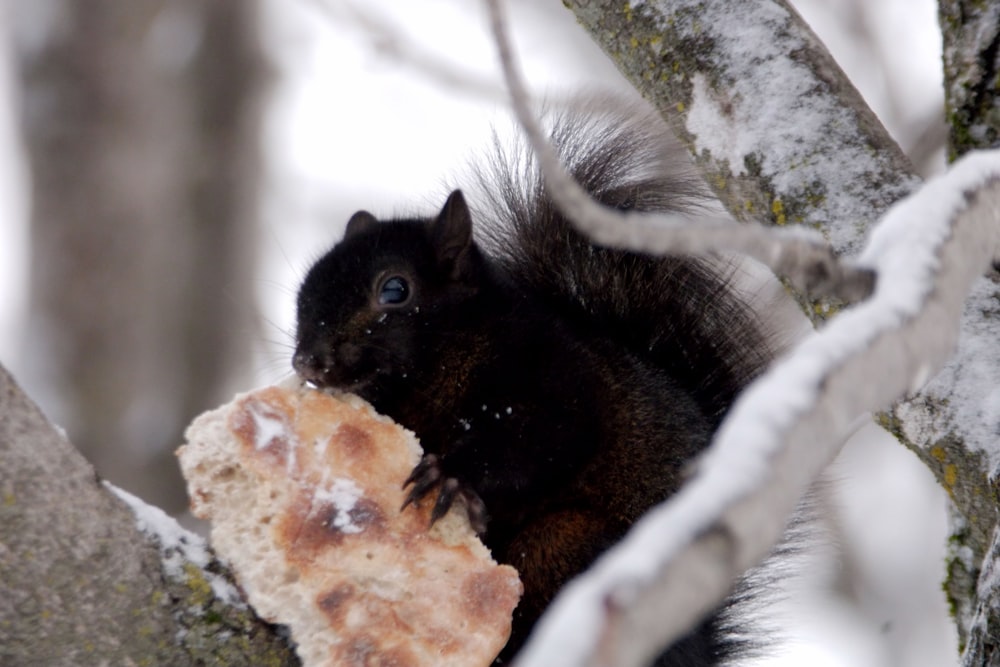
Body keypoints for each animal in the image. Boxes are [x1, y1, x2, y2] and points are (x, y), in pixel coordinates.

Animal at [292, 98, 776, 664]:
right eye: (305, 291)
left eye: (395, 290)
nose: (307, 362)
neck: (436, 373)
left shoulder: (558, 380)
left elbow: (541, 441)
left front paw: (450, 475)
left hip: (566, 546)